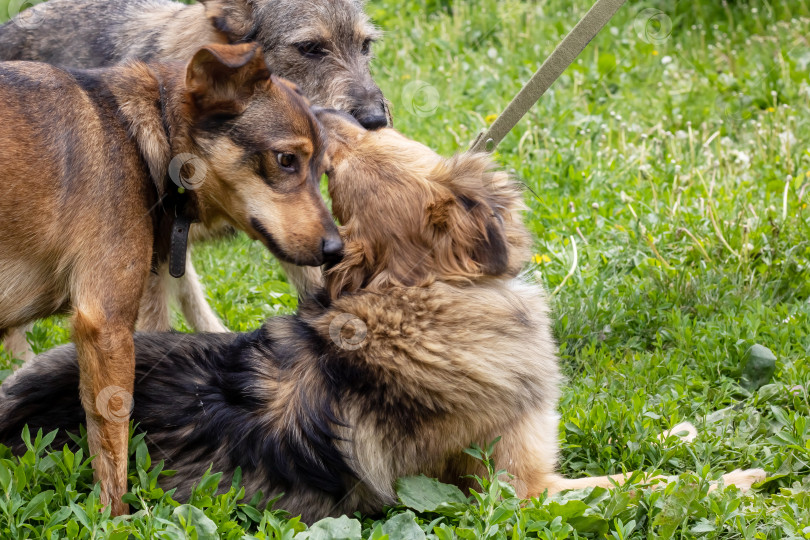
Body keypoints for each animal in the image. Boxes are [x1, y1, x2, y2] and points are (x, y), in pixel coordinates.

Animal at [0, 42, 338, 516]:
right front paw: (115, 521)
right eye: (286, 160)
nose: (336, 249)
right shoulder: (106, 326)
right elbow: (113, 454)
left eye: (322, 168)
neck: (144, 132)